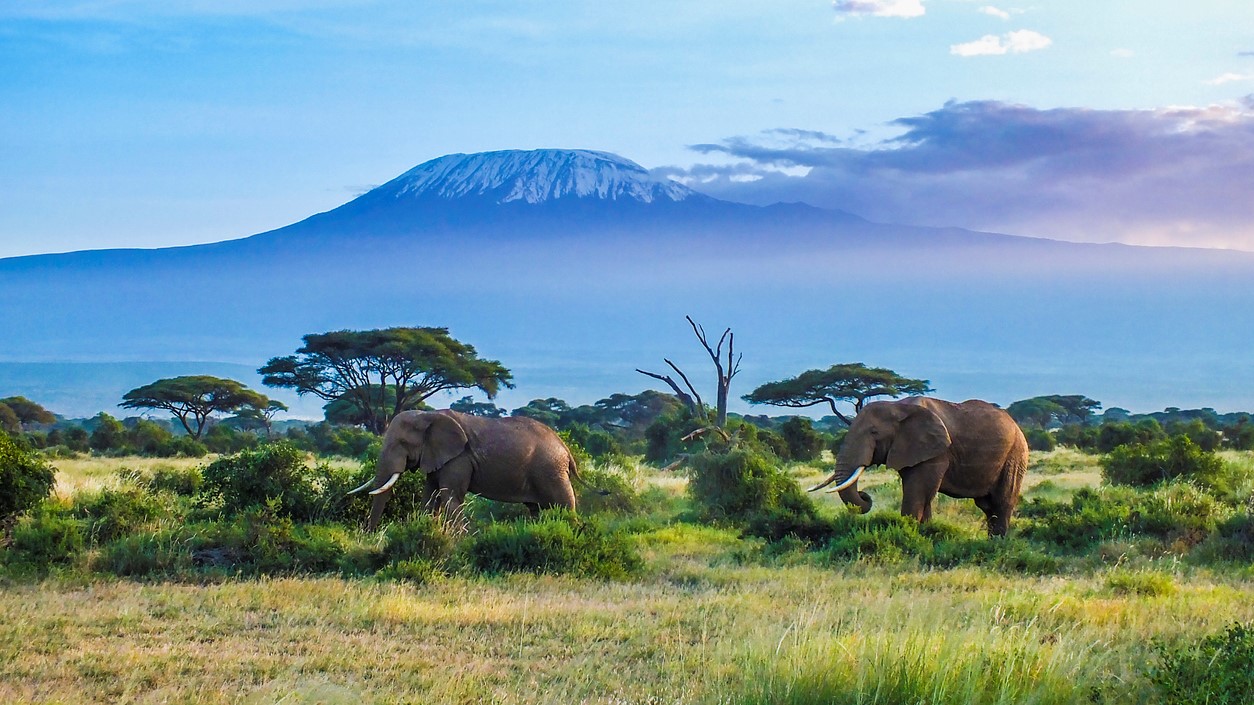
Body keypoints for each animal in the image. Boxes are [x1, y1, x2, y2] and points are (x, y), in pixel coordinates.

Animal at [348, 408, 586, 529]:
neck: (427, 414)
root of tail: (565, 448)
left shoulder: (459, 459)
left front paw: (457, 542)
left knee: (564, 505)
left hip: (551, 471)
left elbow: (451, 497)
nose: (370, 534)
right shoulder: (437, 457)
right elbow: (430, 497)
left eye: (402, 443)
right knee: (536, 510)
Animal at [807, 396, 1033, 531]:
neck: (898, 406)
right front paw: (925, 533)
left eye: (874, 432)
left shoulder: (936, 452)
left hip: (1016, 455)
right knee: (987, 506)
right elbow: (922, 495)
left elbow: (918, 492)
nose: (865, 495)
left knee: (1002, 502)